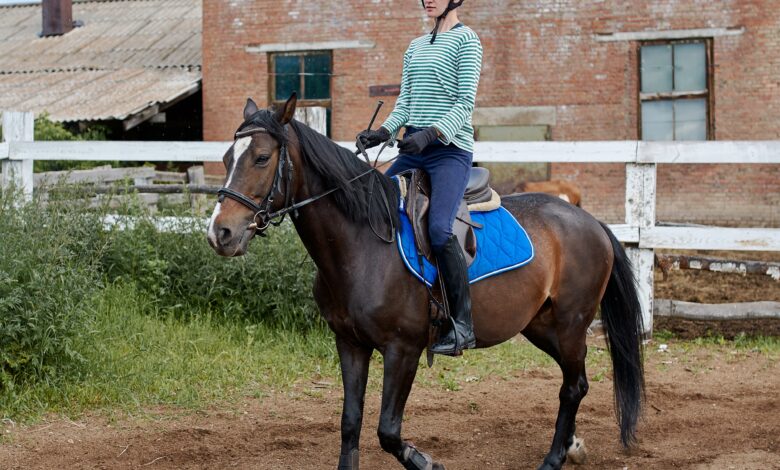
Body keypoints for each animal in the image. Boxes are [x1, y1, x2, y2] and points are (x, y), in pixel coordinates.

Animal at [204, 92, 644, 470]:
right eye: (226, 157)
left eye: (262, 158)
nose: (220, 233)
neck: (364, 244)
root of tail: (590, 221)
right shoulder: (350, 343)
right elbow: (350, 422)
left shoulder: (403, 350)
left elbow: (387, 430)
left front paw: (427, 461)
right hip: (540, 325)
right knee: (578, 380)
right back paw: (572, 447)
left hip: (570, 323)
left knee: (572, 387)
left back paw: (553, 459)